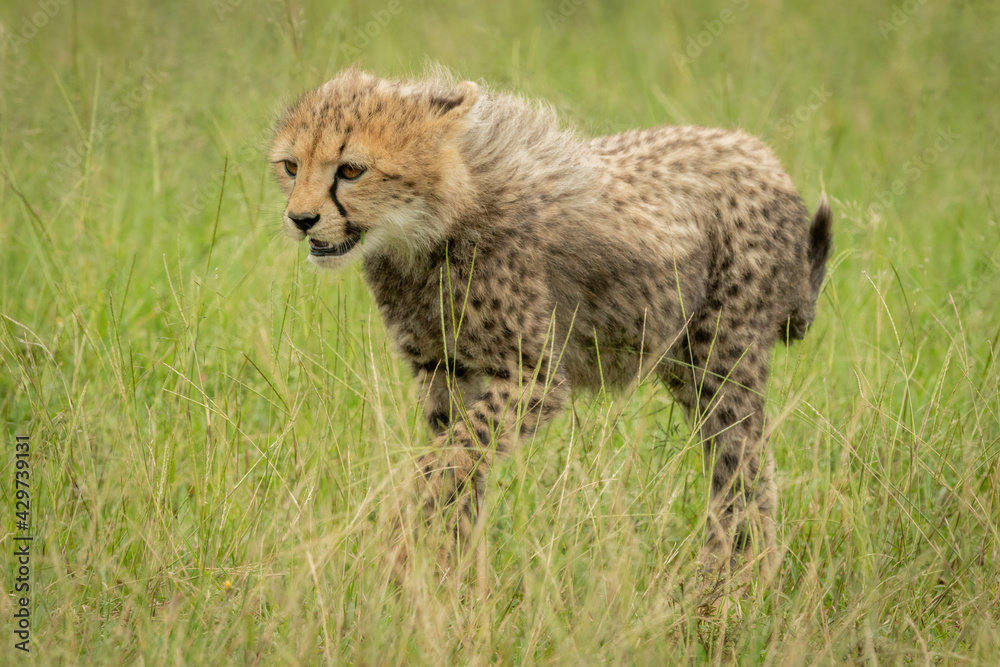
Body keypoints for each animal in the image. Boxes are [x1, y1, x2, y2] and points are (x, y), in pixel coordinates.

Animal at [267, 67, 832, 587]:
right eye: (292, 166)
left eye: (351, 169)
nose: (301, 219)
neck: (434, 225)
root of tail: (760, 154)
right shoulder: (444, 373)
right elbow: (459, 464)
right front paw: (452, 574)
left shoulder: (534, 378)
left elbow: (447, 458)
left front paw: (406, 541)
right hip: (684, 362)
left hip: (723, 357)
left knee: (742, 466)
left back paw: (729, 583)